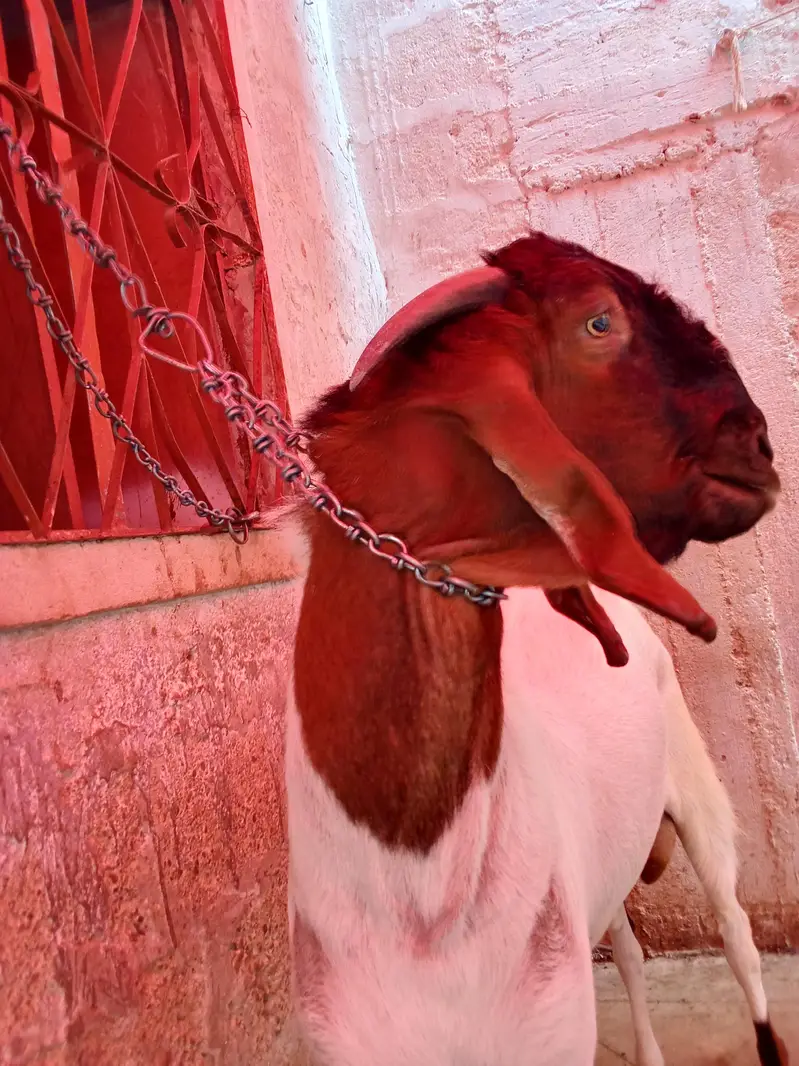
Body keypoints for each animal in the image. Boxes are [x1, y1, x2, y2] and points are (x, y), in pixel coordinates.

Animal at [284, 233, 785, 1066]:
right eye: (598, 322)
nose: (761, 446)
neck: (419, 889)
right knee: (629, 950)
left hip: (700, 801)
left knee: (738, 937)